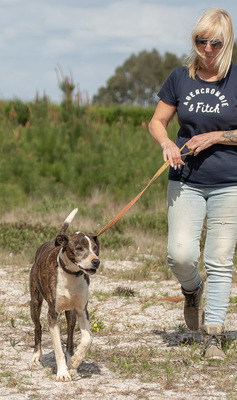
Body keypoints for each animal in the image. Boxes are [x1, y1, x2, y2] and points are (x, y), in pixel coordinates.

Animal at [29, 209, 100, 382]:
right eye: (79, 248)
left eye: (95, 248)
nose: (96, 262)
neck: (72, 275)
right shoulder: (52, 314)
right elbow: (57, 349)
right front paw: (62, 373)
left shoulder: (82, 310)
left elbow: (87, 338)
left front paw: (75, 361)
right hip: (35, 302)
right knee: (38, 327)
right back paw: (36, 357)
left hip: (71, 313)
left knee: (69, 336)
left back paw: (72, 365)